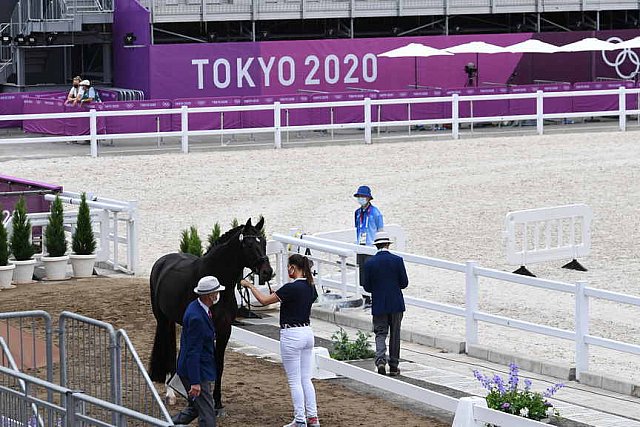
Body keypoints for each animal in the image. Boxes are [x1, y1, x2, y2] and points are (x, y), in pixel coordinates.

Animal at [149, 219, 272, 412]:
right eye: (249, 244)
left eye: (264, 242)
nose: (268, 272)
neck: (216, 282)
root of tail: (162, 262)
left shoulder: (224, 329)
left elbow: (218, 365)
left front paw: (218, 402)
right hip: (162, 319)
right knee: (168, 349)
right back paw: (170, 394)